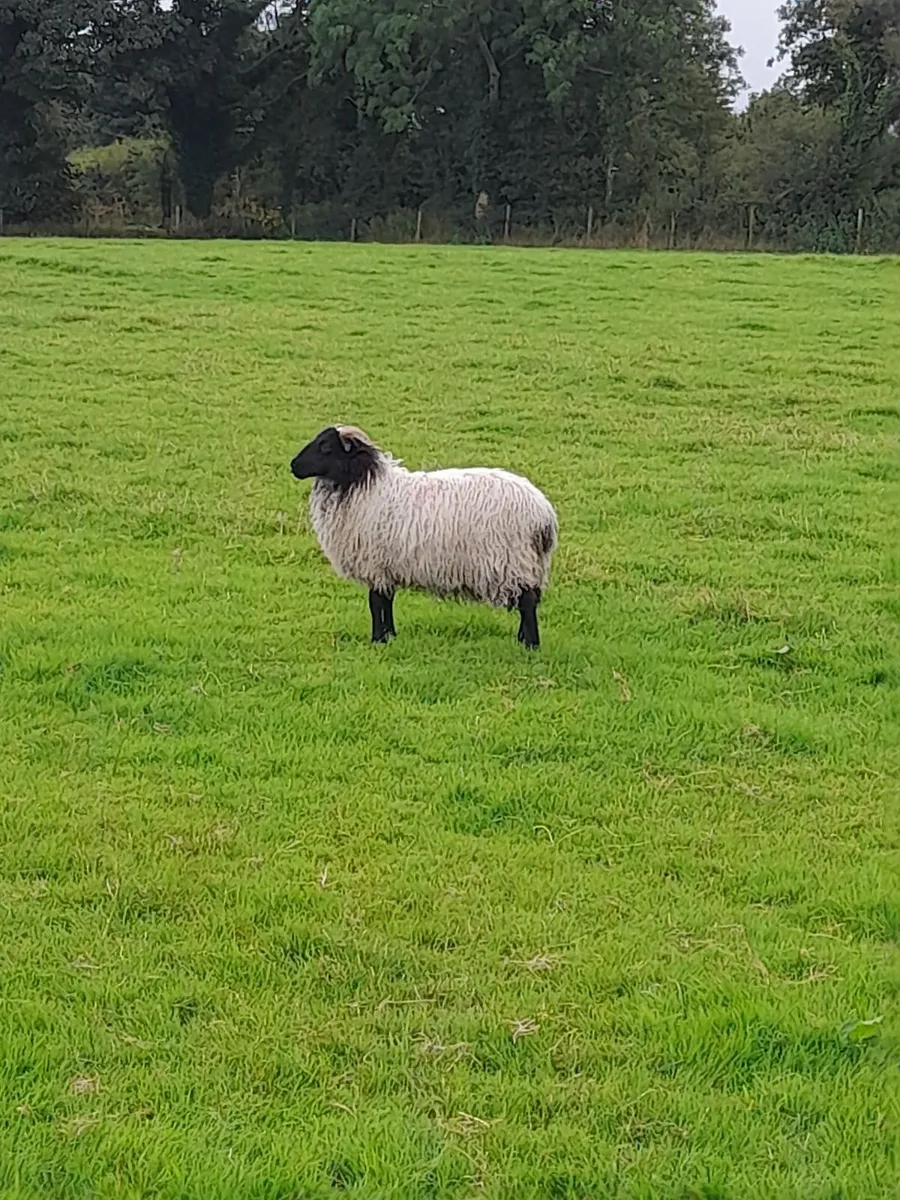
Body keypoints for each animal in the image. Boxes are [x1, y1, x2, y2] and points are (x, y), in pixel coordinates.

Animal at [290, 425, 558, 648]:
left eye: (325, 446)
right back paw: (522, 639)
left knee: (527, 602)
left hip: (513, 560)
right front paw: (390, 636)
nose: (293, 466)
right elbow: (387, 601)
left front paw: (378, 640)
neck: (363, 484)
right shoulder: (387, 566)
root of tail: (543, 514)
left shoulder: (376, 563)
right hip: (527, 563)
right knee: (530, 601)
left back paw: (530, 645)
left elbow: (375, 603)